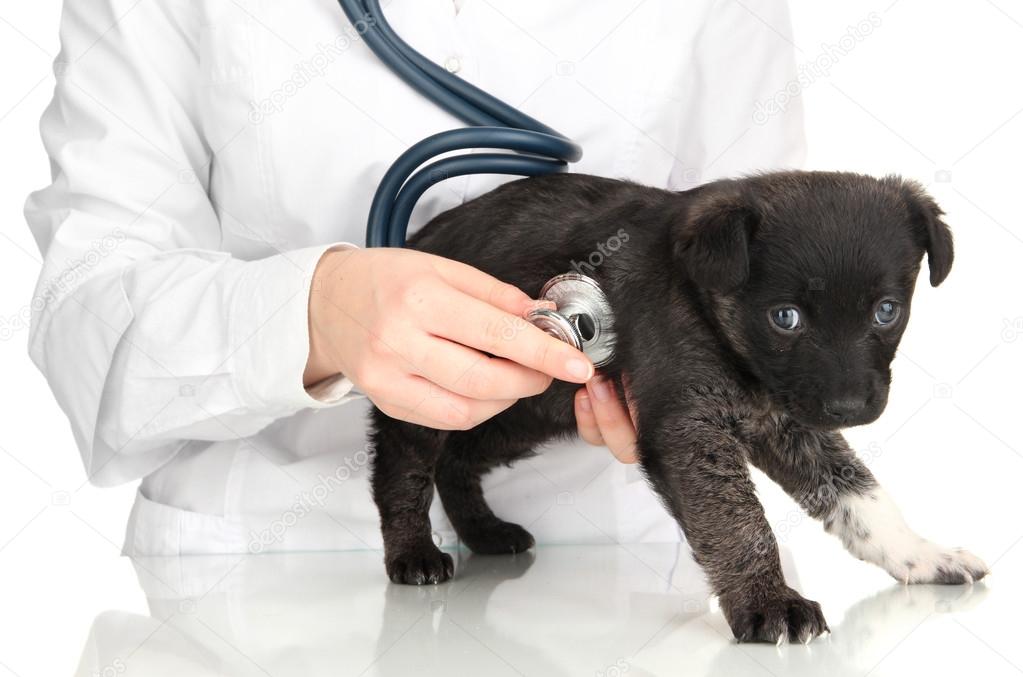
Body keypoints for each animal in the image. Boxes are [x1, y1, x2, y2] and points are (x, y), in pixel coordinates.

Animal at [366, 172, 982, 646]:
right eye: (785, 317)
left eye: (886, 311)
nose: (849, 407)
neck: (710, 308)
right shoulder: (688, 429)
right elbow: (738, 522)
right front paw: (768, 602)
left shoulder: (790, 421)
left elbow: (862, 498)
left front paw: (920, 555)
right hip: (439, 387)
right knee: (403, 465)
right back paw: (414, 553)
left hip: (519, 408)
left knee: (458, 458)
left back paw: (485, 532)